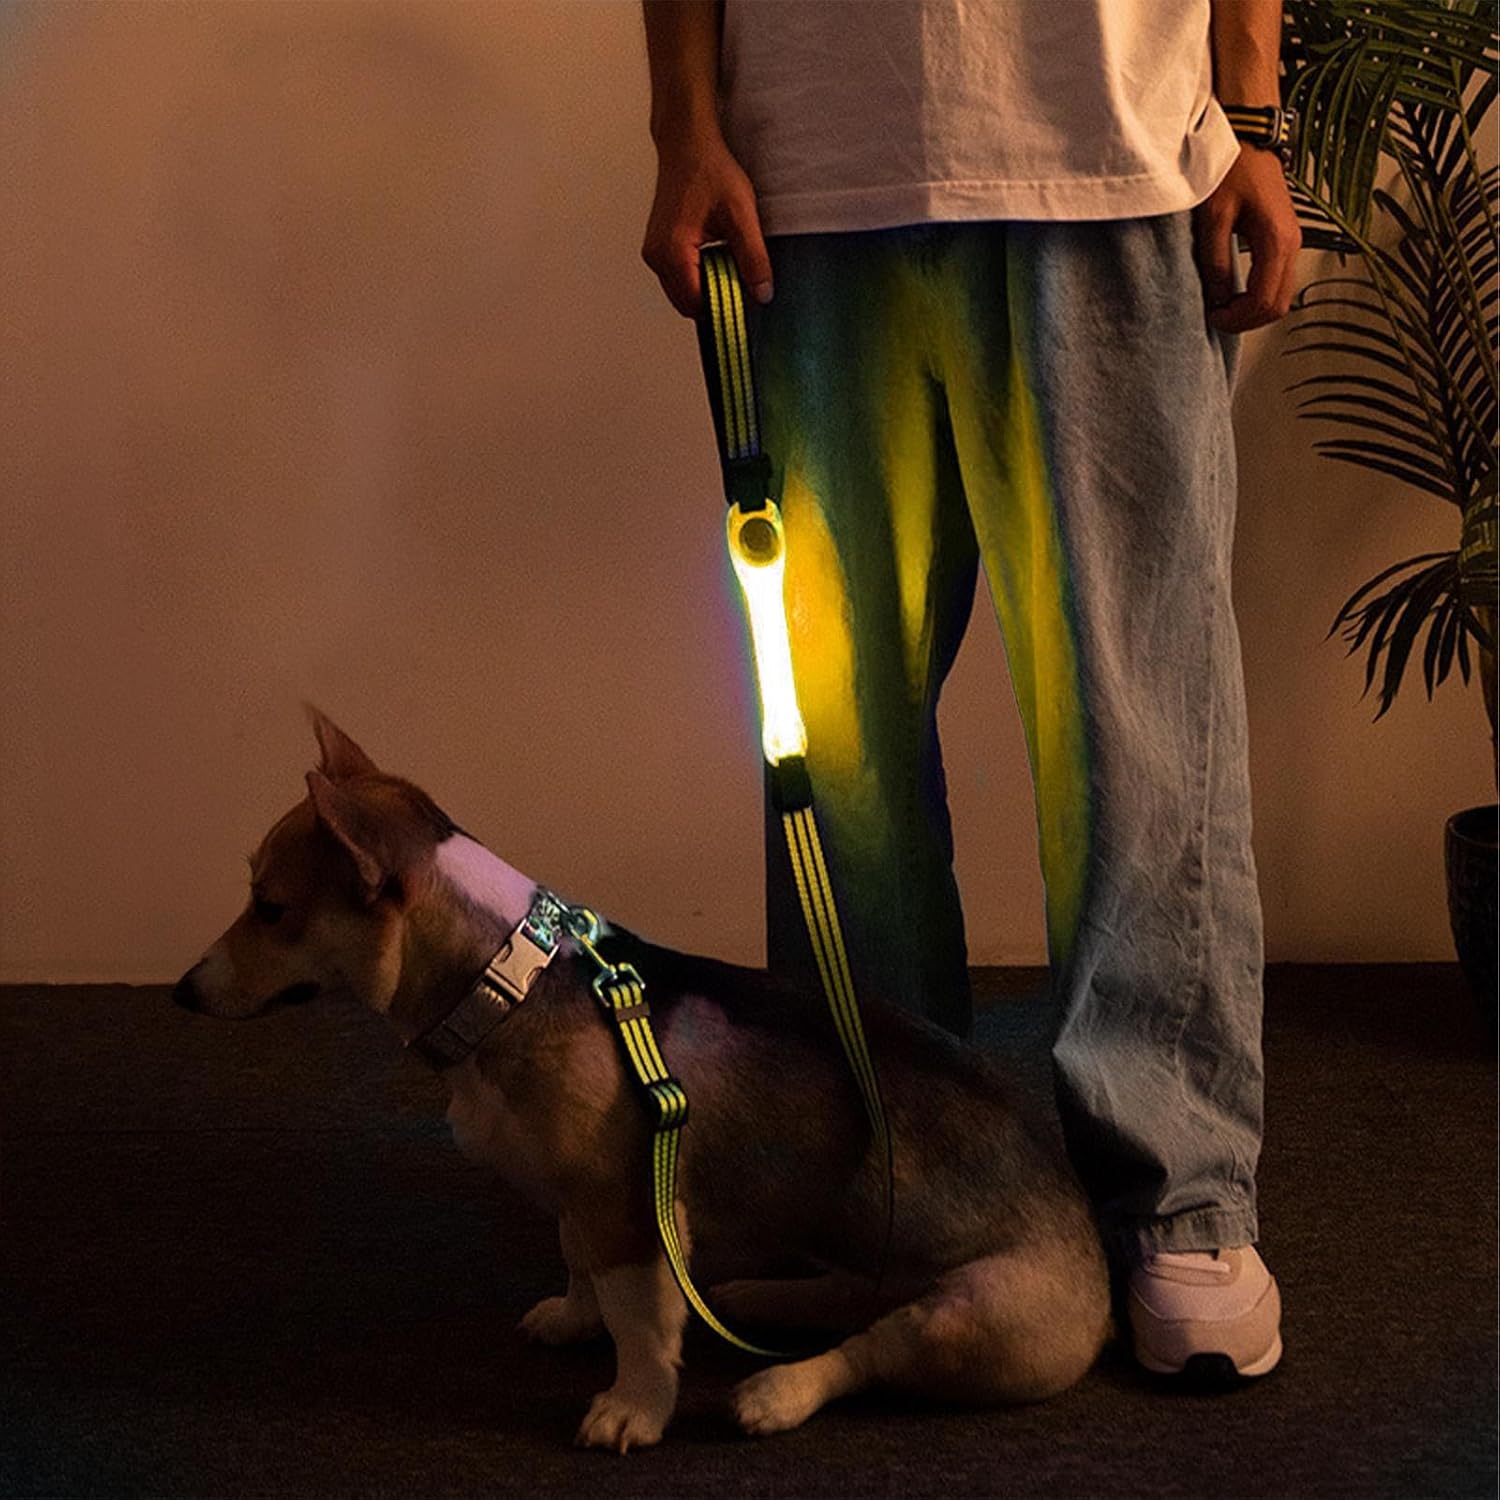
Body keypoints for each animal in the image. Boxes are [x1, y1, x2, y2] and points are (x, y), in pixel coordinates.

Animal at [174, 707, 1111, 1451]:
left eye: (270, 908)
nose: (181, 991)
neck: (506, 983)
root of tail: (1094, 1257)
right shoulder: (579, 1202)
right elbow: (577, 1264)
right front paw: (572, 1318)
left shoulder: (628, 1208)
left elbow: (641, 1325)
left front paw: (633, 1409)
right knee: (846, 1301)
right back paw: (757, 1295)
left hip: (966, 1324)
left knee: (868, 1352)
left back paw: (777, 1391)